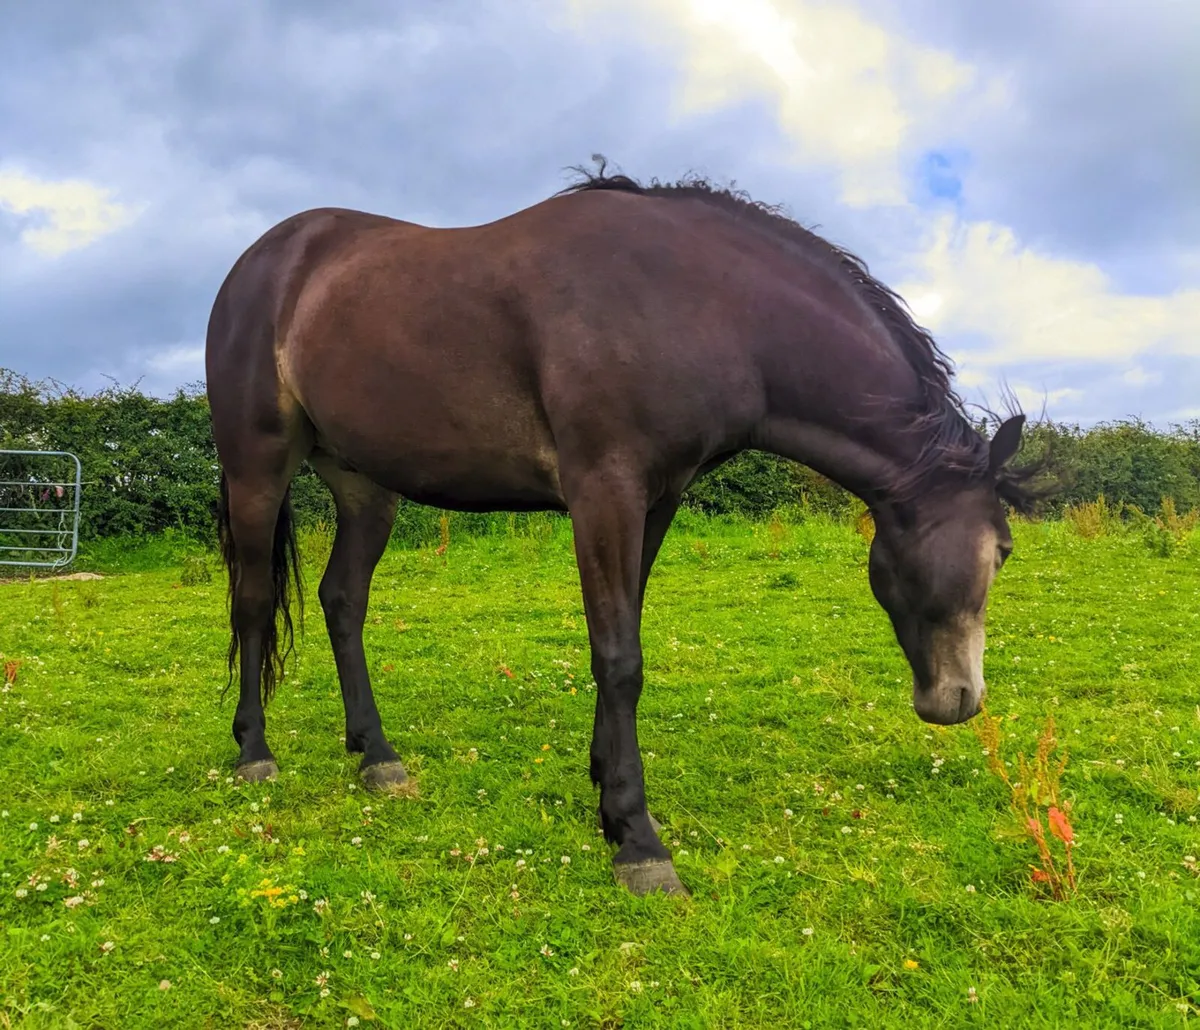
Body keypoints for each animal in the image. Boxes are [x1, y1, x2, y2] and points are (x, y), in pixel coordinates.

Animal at [205, 162, 1040, 897]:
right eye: (999, 551)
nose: (959, 698)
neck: (699, 303)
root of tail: (264, 261)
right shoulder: (603, 492)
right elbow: (619, 657)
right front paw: (638, 841)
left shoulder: (656, 500)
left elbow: (621, 640)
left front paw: (606, 788)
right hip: (257, 468)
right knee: (253, 603)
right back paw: (254, 751)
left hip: (364, 487)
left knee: (343, 600)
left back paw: (376, 756)